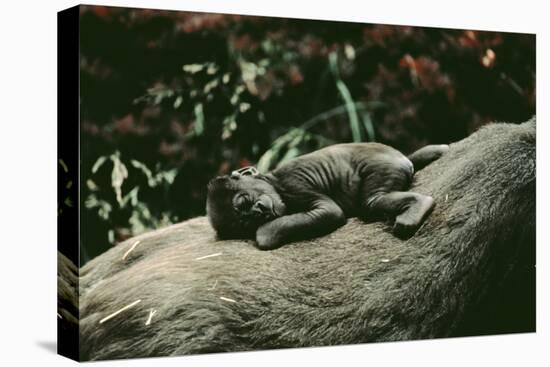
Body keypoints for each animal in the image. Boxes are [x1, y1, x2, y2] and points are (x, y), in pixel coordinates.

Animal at [207, 143, 448, 250]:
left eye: (246, 201)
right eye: (244, 221)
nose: (257, 213)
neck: (272, 180)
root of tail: (401, 158)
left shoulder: (293, 184)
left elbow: (330, 212)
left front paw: (266, 231)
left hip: (385, 166)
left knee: (371, 202)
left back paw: (418, 204)